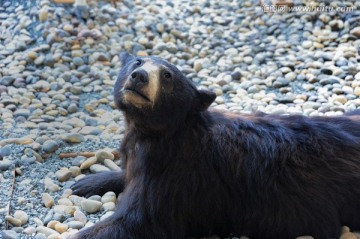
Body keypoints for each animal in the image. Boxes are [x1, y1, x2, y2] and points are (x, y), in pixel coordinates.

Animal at [71, 53, 360, 238]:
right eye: (138, 61)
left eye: (167, 75)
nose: (139, 76)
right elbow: (128, 175)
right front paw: (90, 182)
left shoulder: (177, 177)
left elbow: (138, 223)